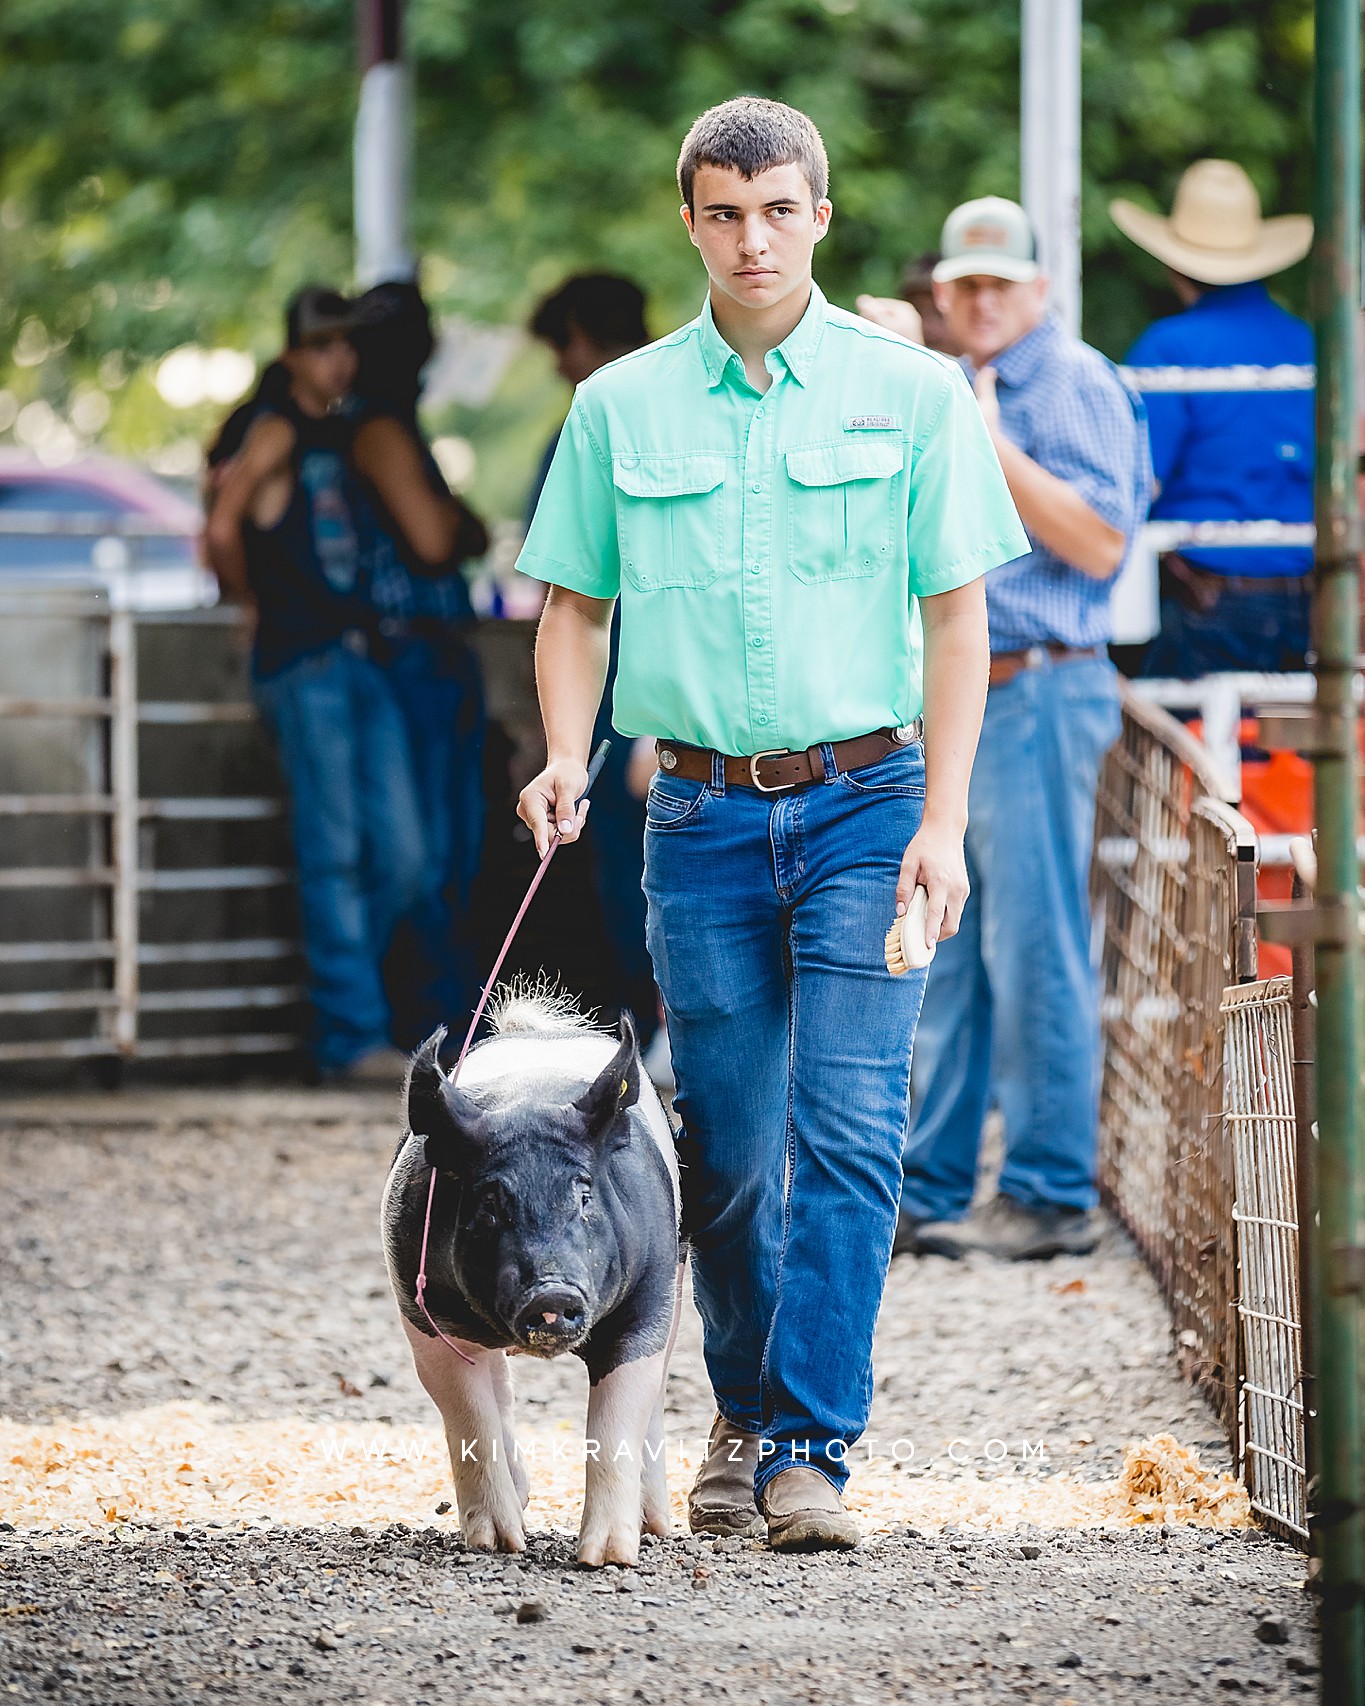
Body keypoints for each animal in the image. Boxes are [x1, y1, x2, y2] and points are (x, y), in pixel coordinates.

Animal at [380, 996, 682, 1562]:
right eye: (489, 1203)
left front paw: (606, 1558)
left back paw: (657, 1525)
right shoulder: (424, 1316)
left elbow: (616, 1421)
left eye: (584, 1196)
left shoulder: (649, 1298)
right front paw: (498, 1545)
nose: (553, 1290)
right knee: (498, 1388)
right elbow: (471, 1419)